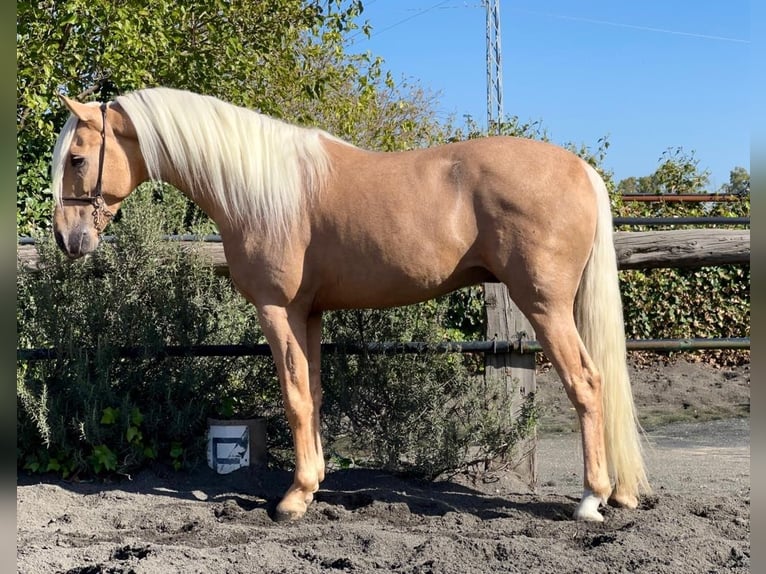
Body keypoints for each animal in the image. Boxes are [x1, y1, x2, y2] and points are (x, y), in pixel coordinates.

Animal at [51, 88, 652, 524]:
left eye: (77, 158)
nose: (67, 239)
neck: (260, 189)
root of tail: (581, 169)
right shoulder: (309, 314)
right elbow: (313, 393)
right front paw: (313, 484)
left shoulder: (278, 310)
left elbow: (294, 396)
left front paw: (293, 500)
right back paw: (616, 494)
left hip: (545, 306)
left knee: (587, 384)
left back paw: (591, 500)